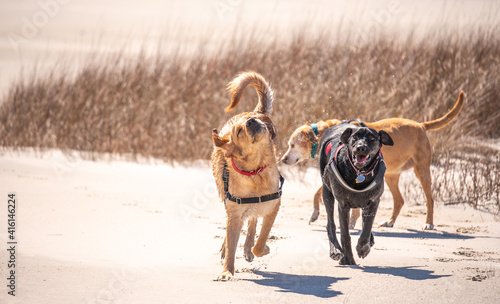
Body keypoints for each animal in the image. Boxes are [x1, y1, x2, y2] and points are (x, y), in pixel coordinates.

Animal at [282, 91, 464, 229]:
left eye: (292, 145)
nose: (282, 160)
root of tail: (421, 125)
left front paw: (348, 222)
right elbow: (318, 194)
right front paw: (317, 215)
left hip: (422, 171)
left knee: (429, 199)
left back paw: (428, 223)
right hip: (391, 175)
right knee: (399, 200)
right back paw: (389, 222)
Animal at [320, 122, 394, 264]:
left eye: (372, 138)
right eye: (354, 137)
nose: (361, 148)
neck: (359, 173)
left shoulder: (374, 201)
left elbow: (366, 229)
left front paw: (362, 248)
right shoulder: (343, 205)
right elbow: (345, 235)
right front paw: (348, 259)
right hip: (327, 193)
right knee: (330, 224)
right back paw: (335, 251)